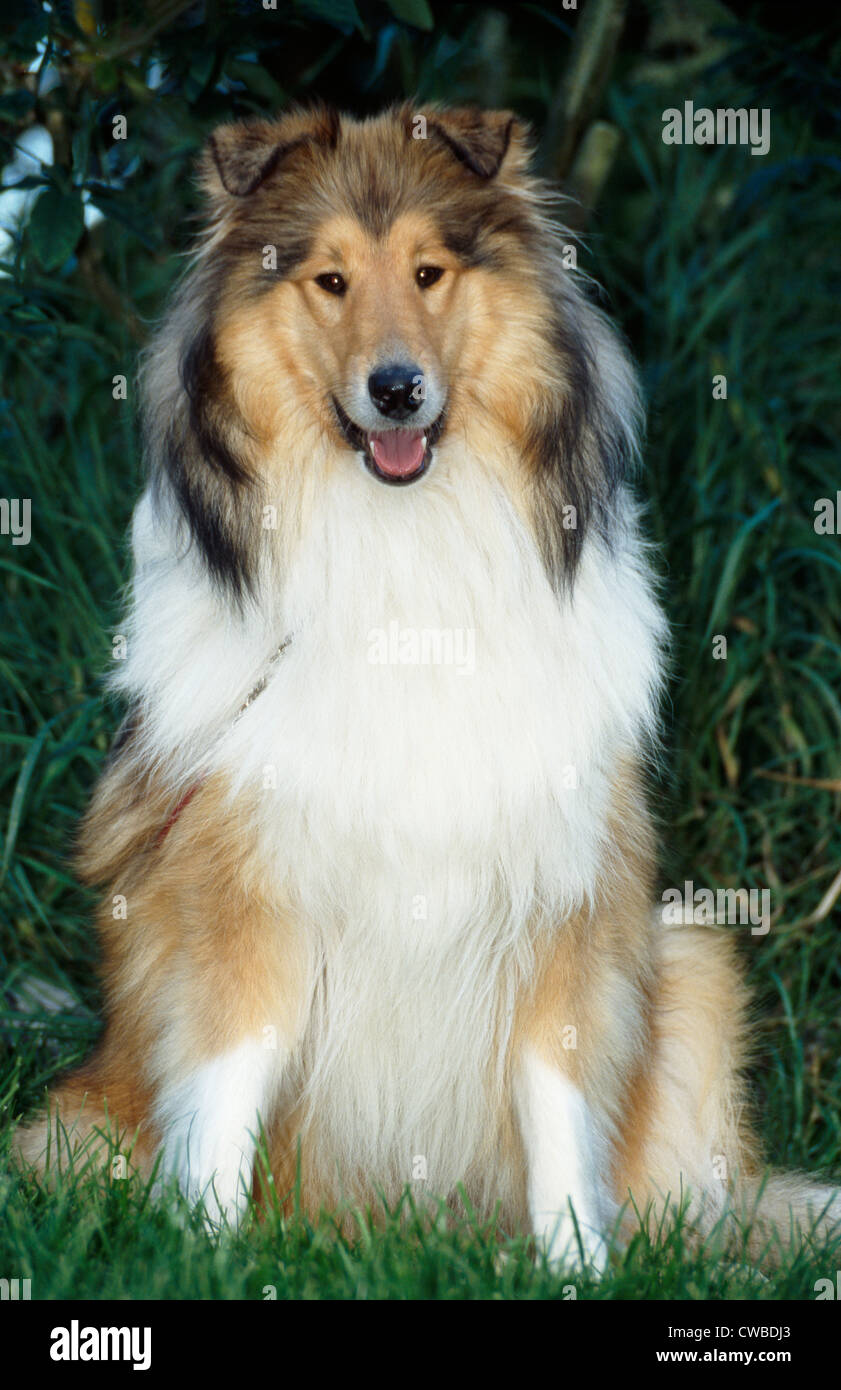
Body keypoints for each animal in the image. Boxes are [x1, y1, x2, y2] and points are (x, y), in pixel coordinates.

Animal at [14, 102, 839, 1267]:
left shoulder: (562, 896)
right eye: (328, 280)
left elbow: (556, 1097)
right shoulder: (238, 894)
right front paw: (201, 1254)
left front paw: (575, 1268)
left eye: (429, 271)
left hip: (690, 960)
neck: (404, 551)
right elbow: (224, 1078)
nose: (395, 389)